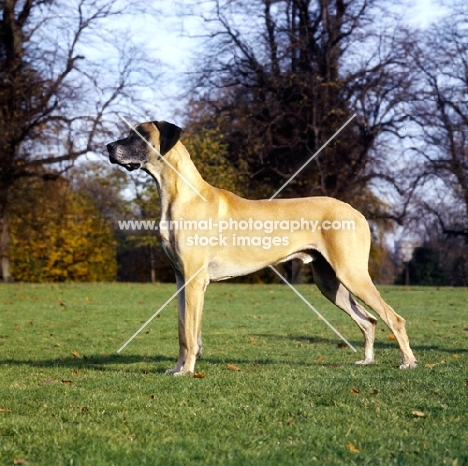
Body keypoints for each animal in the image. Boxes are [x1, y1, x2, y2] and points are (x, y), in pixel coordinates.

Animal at [108, 119, 418, 374]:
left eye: (138, 135)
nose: (108, 147)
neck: (181, 195)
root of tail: (356, 212)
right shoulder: (181, 279)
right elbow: (183, 330)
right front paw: (177, 368)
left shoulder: (194, 281)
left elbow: (190, 332)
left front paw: (187, 371)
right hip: (329, 282)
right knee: (369, 320)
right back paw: (367, 360)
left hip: (351, 274)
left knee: (394, 318)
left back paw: (407, 361)